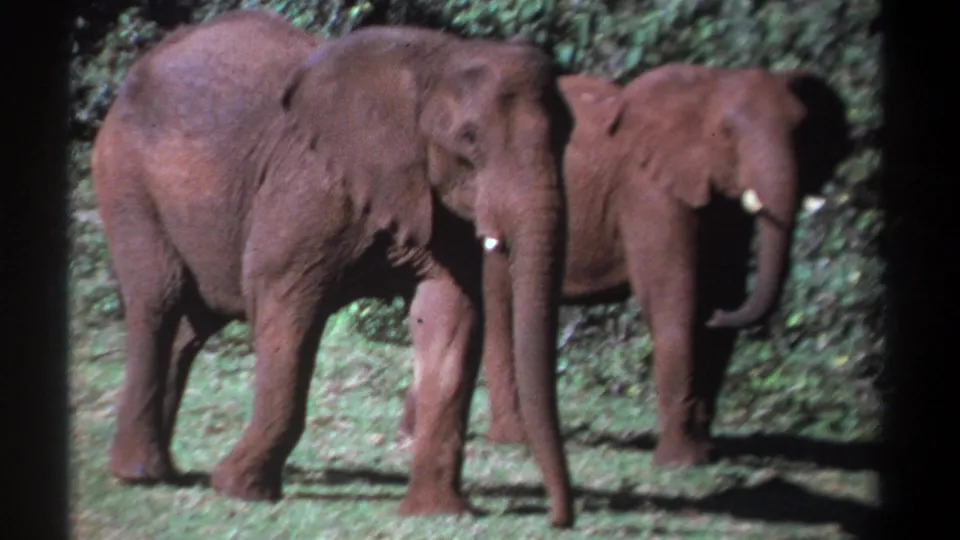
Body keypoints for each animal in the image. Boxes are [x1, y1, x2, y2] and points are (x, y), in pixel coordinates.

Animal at [90, 10, 575, 527]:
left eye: (566, 137)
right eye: (468, 140)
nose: (557, 519)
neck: (435, 61)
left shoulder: (435, 204)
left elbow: (450, 316)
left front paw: (438, 513)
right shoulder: (312, 182)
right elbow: (282, 299)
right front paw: (239, 490)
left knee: (194, 323)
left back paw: (164, 471)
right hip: (125, 176)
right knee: (158, 300)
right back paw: (138, 474)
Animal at [398, 64, 852, 467]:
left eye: (803, 134)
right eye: (727, 132)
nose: (723, 316)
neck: (707, 85)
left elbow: (723, 291)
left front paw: (705, 452)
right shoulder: (648, 190)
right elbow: (673, 299)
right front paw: (680, 463)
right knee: (499, 303)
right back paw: (513, 439)